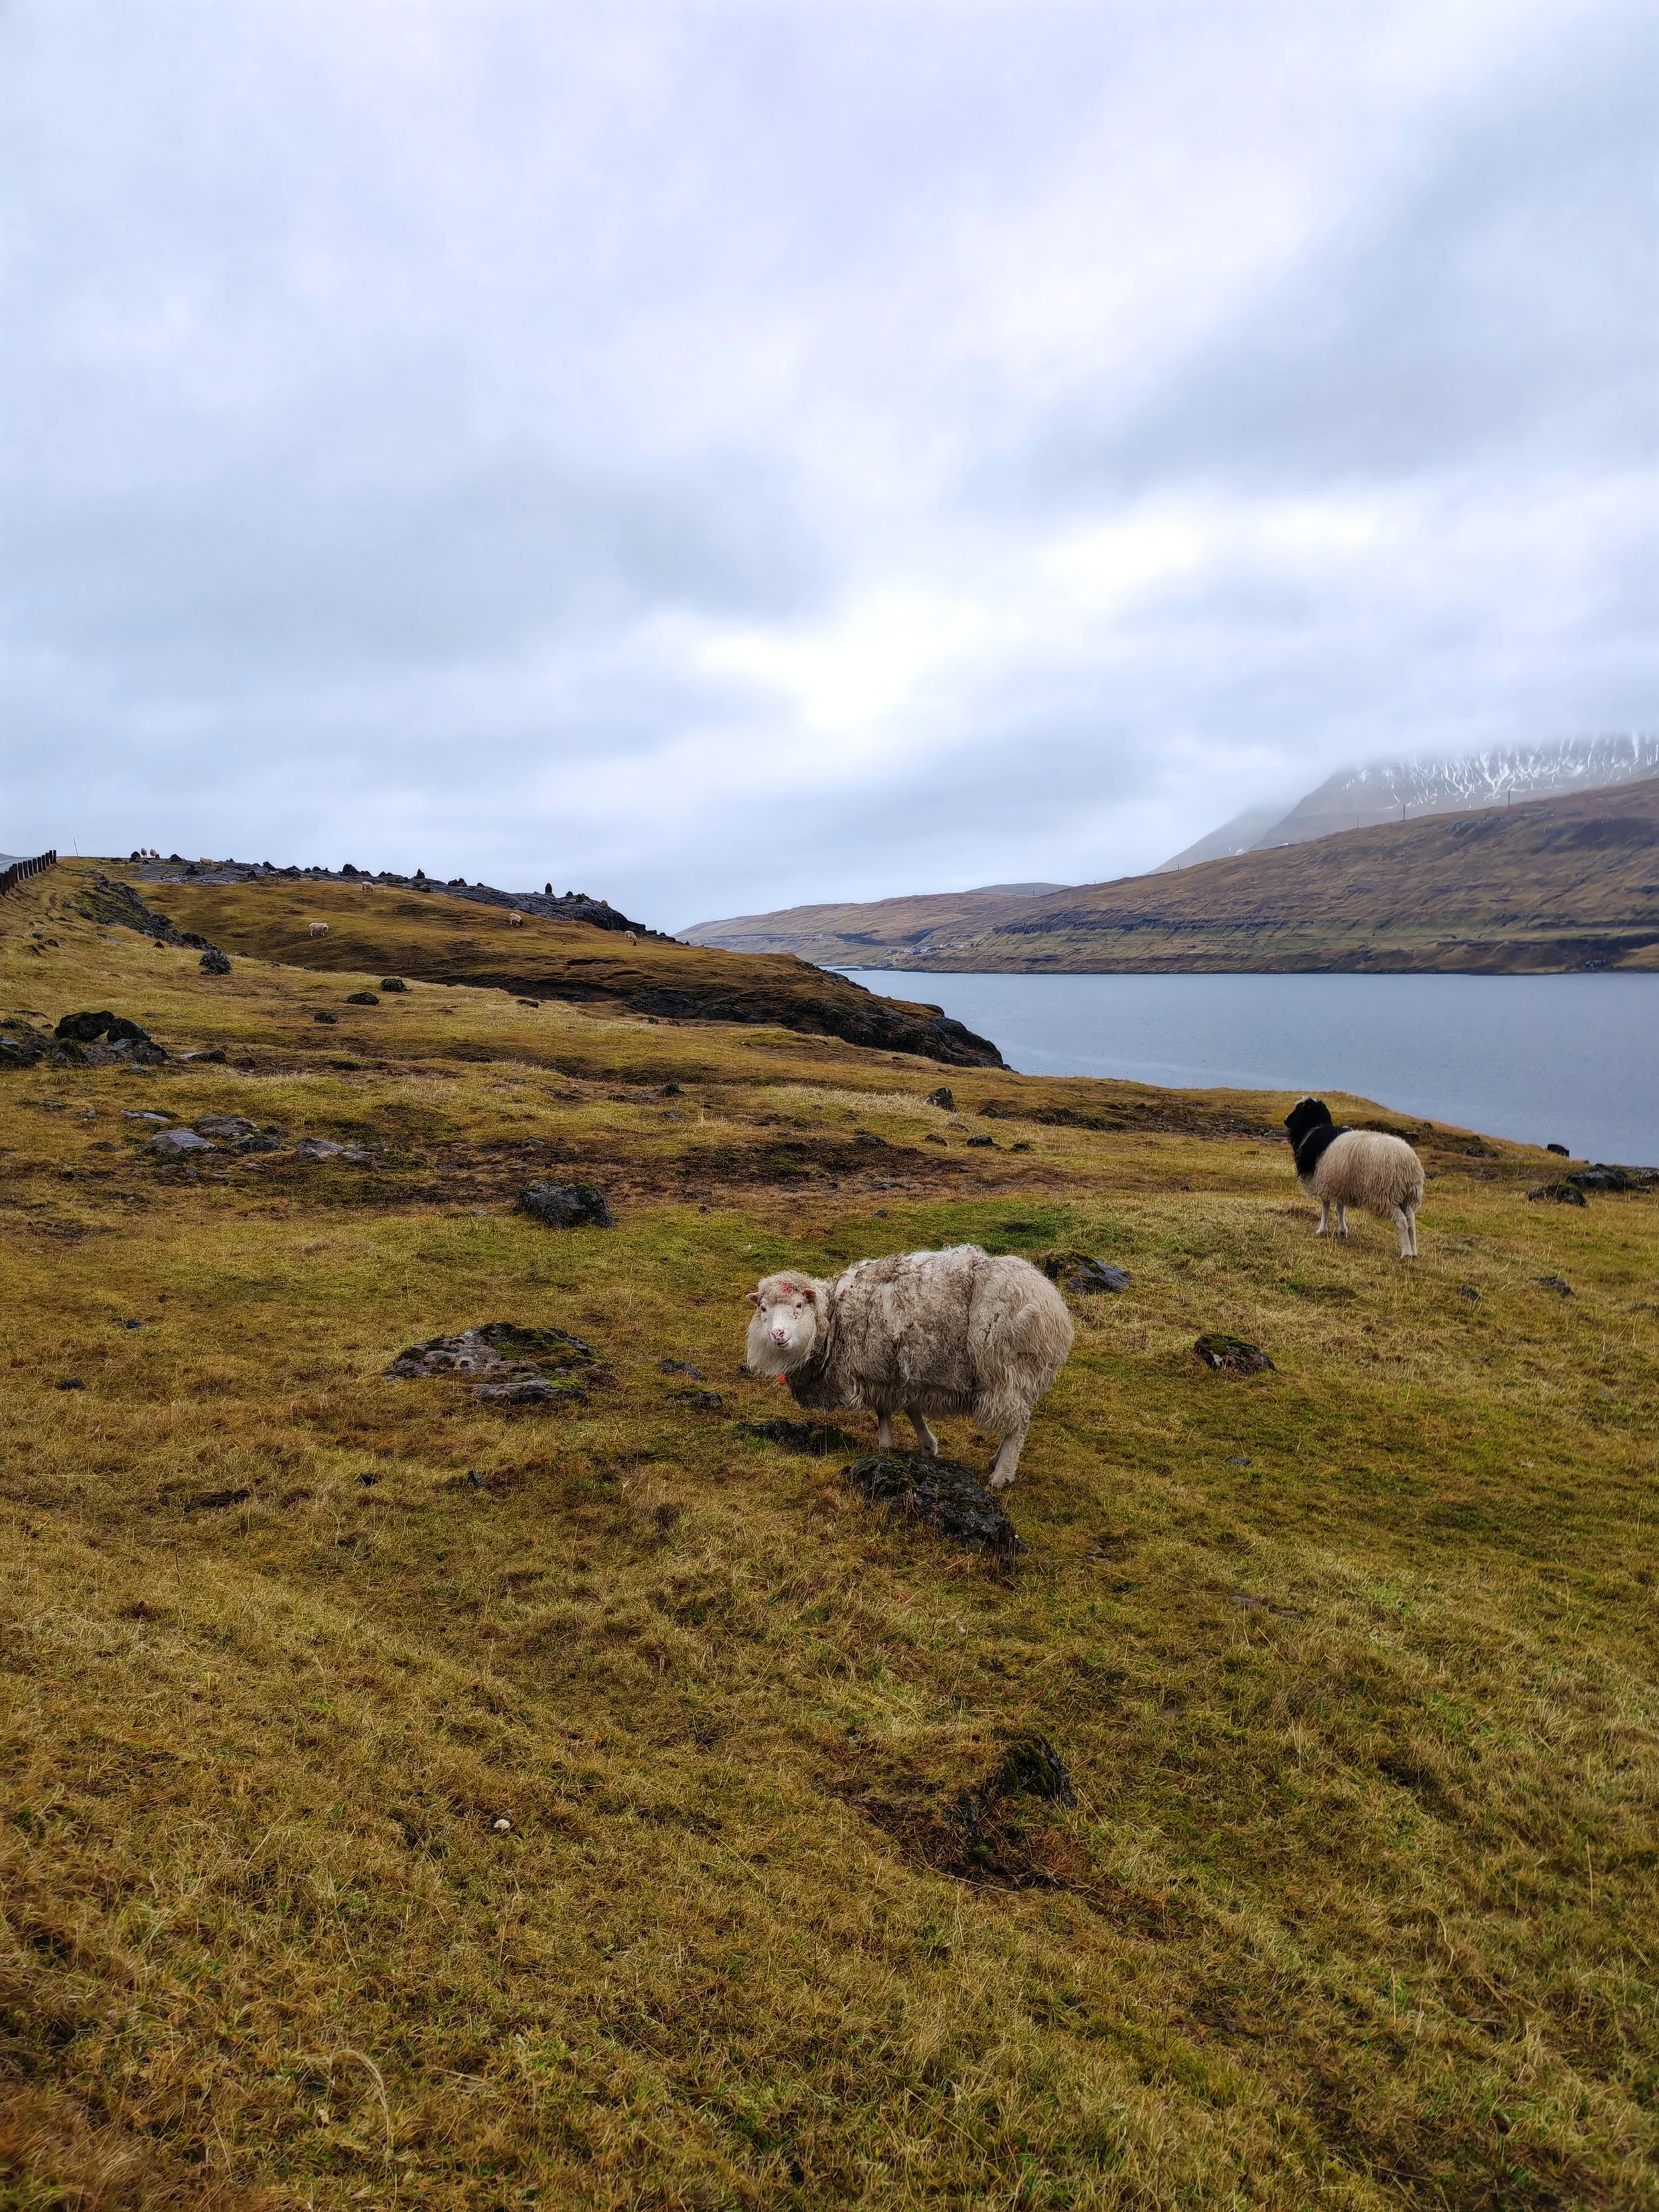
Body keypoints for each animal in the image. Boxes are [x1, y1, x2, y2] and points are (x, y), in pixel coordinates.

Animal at [745, 1243, 1074, 1488]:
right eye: (763, 1309)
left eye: (799, 1306)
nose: (778, 1335)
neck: (833, 1320)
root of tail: (1050, 1304)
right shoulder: (895, 1372)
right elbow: (903, 1409)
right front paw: (921, 1446)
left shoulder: (878, 1368)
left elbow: (890, 1410)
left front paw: (888, 1445)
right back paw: (998, 1462)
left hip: (1006, 1372)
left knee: (1018, 1425)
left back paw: (1002, 1474)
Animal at [1284, 1096, 1424, 1259]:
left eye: (1299, 1110)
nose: (1286, 1121)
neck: (1314, 1129)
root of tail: (1409, 1160)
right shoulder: (1340, 1183)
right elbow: (1340, 1208)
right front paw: (1342, 1231)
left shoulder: (1324, 1181)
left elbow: (1326, 1207)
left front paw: (1321, 1230)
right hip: (1407, 1195)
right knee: (1411, 1221)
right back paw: (1414, 1252)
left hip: (1386, 1194)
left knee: (1402, 1222)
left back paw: (1406, 1253)